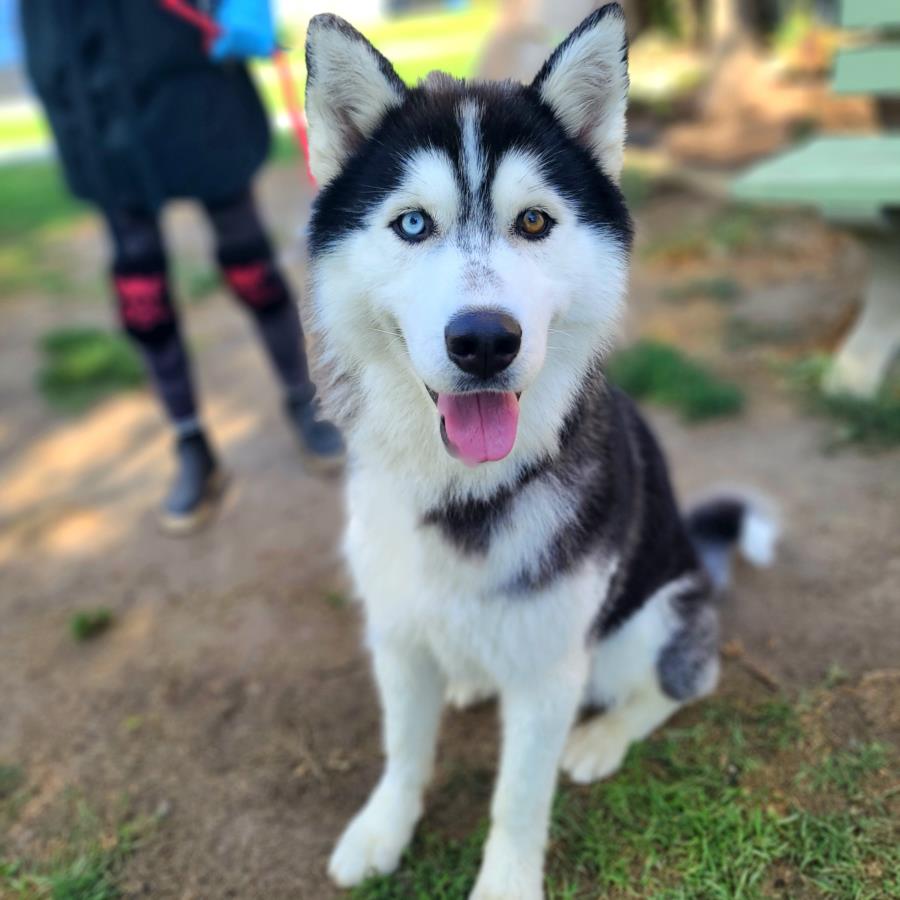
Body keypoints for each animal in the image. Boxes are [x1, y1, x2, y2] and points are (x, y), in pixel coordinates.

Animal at [304, 5, 780, 892]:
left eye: (533, 221)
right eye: (412, 223)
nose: (484, 341)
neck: (463, 489)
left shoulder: (550, 671)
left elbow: (519, 799)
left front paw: (505, 881)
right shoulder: (397, 637)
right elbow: (404, 750)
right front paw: (384, 828)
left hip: (645, 625)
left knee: (684, 681)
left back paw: (602, 736)